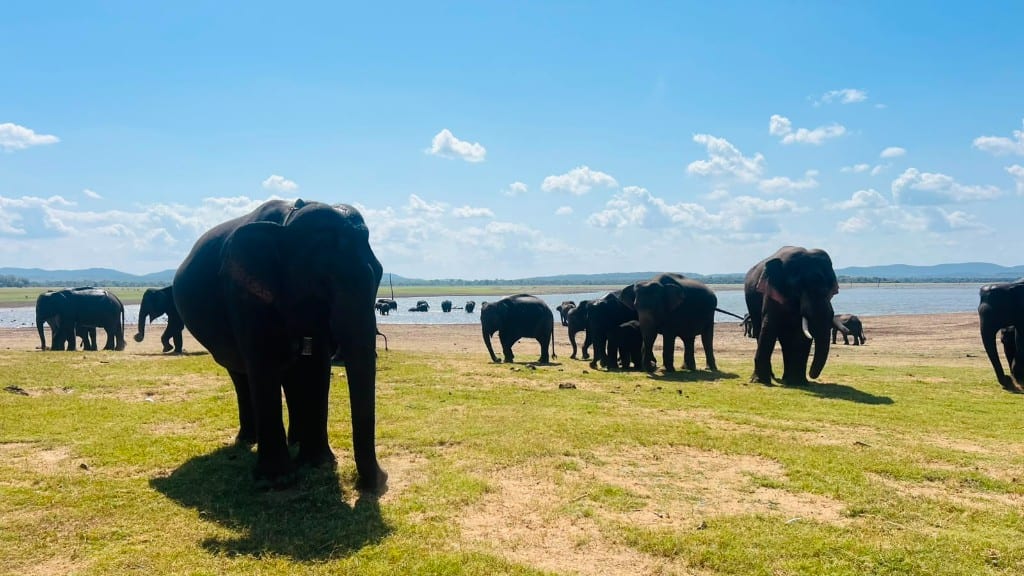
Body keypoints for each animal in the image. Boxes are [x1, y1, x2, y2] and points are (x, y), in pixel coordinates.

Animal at [172, 198, 387, 492]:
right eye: (322, 281)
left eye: (380, 273)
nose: (377, 481)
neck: (287, 225)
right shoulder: (243, 292)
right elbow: (264, 363)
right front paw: (279, 479)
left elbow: (316, 366)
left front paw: (318, 463)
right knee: (240, 374)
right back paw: (247, 441)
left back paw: (294, 441)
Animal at [744, 246, 846, 386]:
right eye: (798, 288)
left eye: (830, 291)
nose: (812, 375)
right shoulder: (771, 291)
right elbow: (769, 327)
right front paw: (760, 381)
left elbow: (801, 336)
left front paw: (798, 382)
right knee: (760, 331)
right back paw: (772, 377)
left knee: (785, 340)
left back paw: (787, 379)